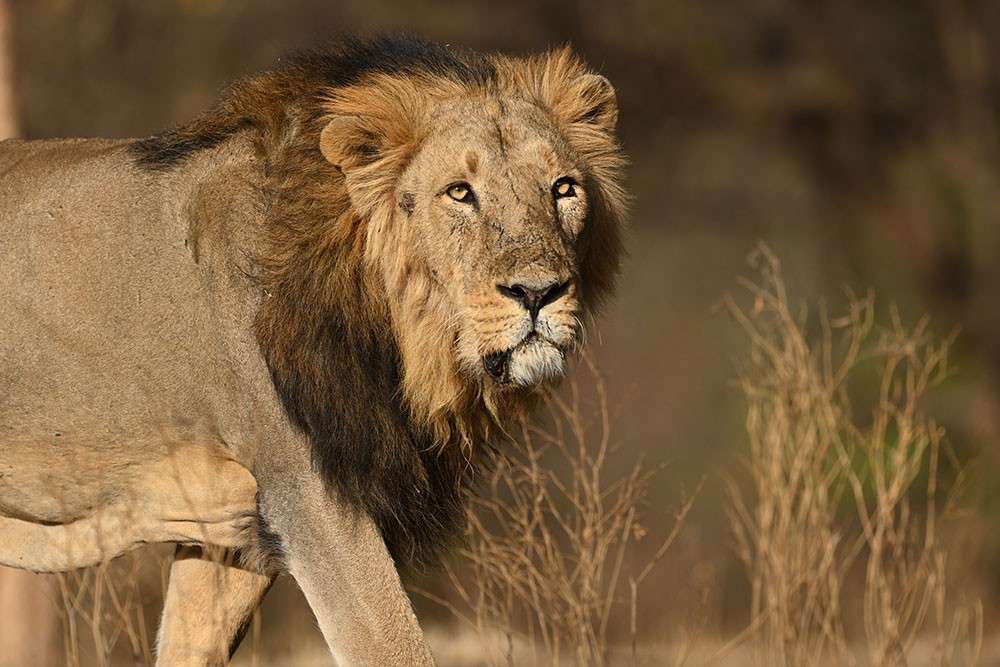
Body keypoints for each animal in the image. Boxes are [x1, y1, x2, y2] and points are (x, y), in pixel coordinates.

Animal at [0, 36, 626, 665]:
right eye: (459, 193)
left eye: (563, 188)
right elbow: (393, 646)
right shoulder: (309, 499)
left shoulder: (237, 530)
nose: (539, 292)